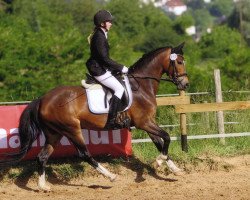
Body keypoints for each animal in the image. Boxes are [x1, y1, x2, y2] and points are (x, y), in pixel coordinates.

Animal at [0, 42, 188, 191]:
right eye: (179, 62)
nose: (185, 84)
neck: (141, 85)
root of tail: (42, 99)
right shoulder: (144, 122)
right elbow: (166, 137)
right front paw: (158, 162)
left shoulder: (148, 122)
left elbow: (160, 143)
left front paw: (174, 168)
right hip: (72, 129)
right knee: (84, 154)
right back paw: (110, 176)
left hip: (54, 133)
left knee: (42, 157)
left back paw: (43, 186)